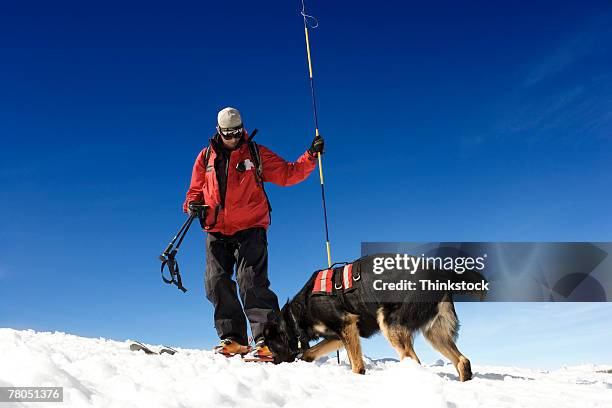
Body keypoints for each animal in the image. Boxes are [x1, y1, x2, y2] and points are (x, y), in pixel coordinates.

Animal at [262, 253, 488, 380]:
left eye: (272, 347)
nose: (274, 364)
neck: (297, 313)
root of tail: (440, 272)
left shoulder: (346, 325)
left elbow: (357, 365)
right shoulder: (339, 334)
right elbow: (310, 353)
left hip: (389, 322)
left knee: (412, 359)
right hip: (434, 333)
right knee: (463, 361)